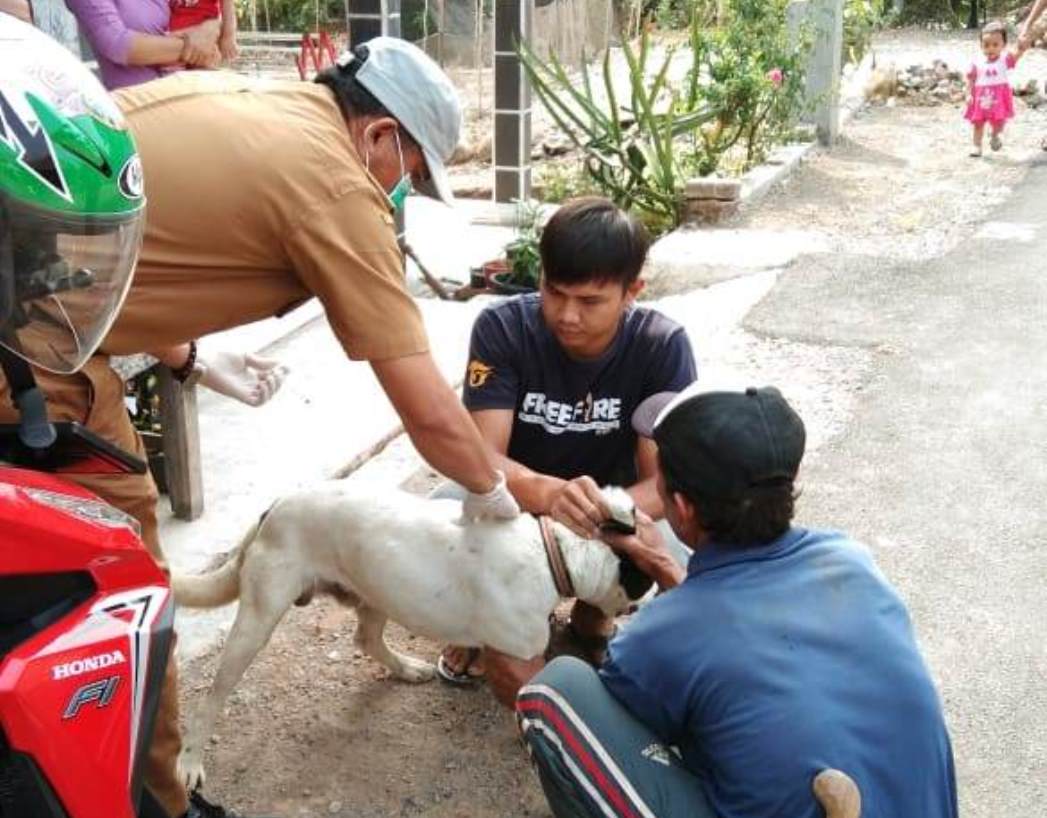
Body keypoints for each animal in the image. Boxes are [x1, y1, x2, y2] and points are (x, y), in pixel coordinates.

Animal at [174, 481, 649, 787]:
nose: (648, 598)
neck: (560, 555)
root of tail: (274, 506)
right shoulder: (520, 657)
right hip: (258, 619)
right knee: (212, 696)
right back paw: (191, 760)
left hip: (377, 588)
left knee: (365, 639)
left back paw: (406, 669)